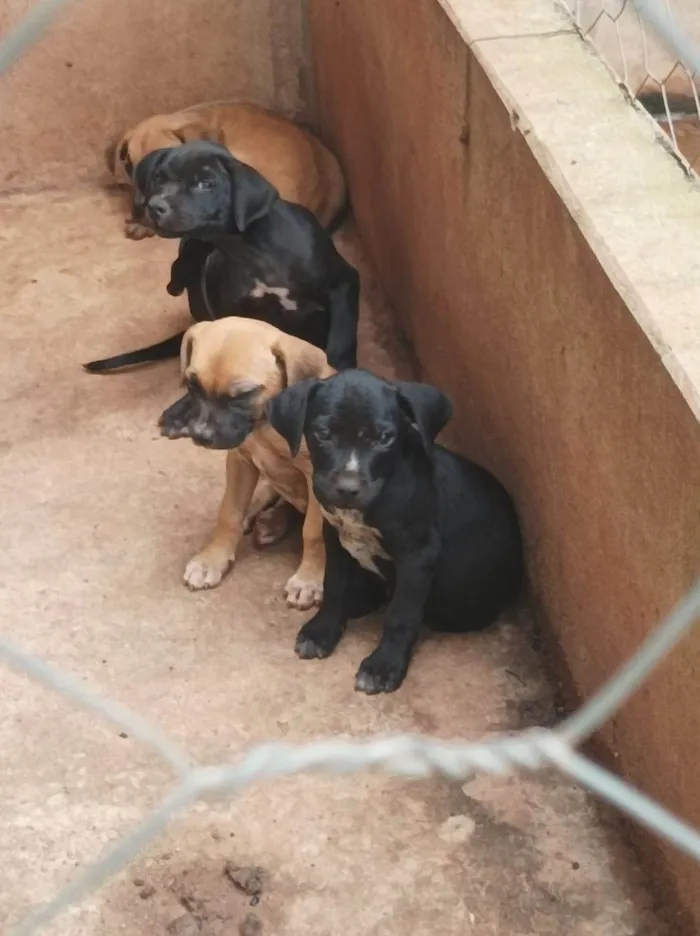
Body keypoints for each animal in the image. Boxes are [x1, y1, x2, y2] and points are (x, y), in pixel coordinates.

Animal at [84, 139, 358, 372]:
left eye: (206, 184)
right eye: (158, 179)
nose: (154, 207)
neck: (251, 250)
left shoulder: (343, 283)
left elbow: (342, 337)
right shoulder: (237, 312)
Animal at [160, 320, 334, 616]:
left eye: (243, 396)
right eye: (192, 385)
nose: (200, 435)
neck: (266, 426)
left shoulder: (320, 482)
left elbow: (313, 532)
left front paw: (309, 580)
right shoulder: (241, 461)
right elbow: (228, 513)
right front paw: (212, 559)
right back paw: (263, 517)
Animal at [266, 370, 524, 692]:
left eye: (384, 438)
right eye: (323, 433)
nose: (348, 489)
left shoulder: (417, 557)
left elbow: (401, 615)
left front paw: (383, 666)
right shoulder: (335, 539)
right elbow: (334, 586)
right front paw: (322, 630)